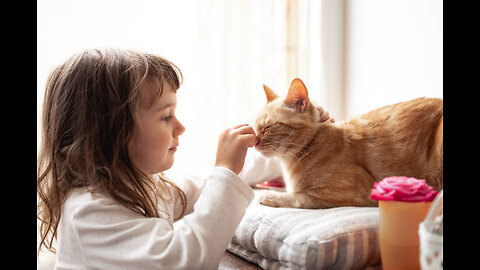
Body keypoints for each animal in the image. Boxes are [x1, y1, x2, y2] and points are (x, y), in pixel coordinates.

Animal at [255, 78, 442, 209]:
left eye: (269, 126)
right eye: (255, 127)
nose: (255, 141)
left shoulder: (356, 193)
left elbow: (299, 197)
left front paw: (268, 196)